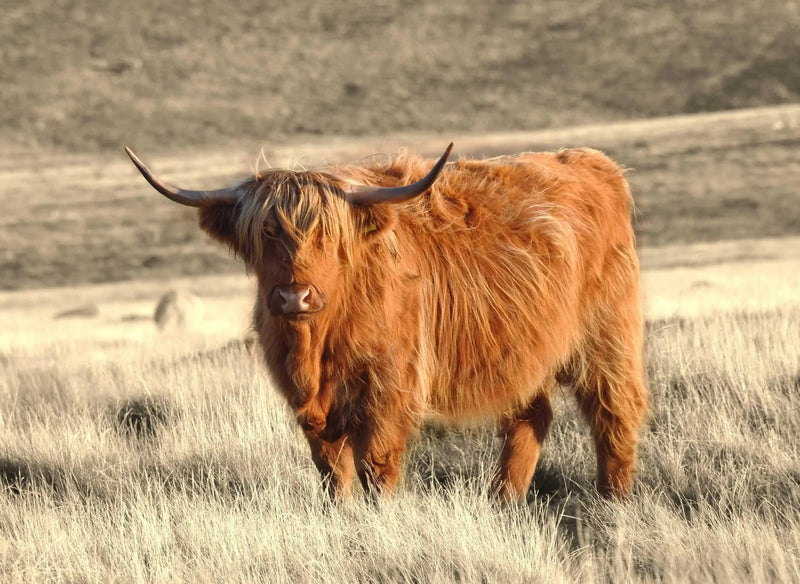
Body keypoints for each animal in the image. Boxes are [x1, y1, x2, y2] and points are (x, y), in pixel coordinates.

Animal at [126, 143, 648, 500]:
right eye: (267, 231)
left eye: (328, 235)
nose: (295, 295)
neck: (316, 348)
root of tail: (591, 162)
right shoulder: (310, 407)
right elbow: (332, 471)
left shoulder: (389, 388)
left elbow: (376, 466)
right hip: (522, 351)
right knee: (529, 418)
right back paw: (504, 501)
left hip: (608, 338)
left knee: (615, 413)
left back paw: (612, 502)